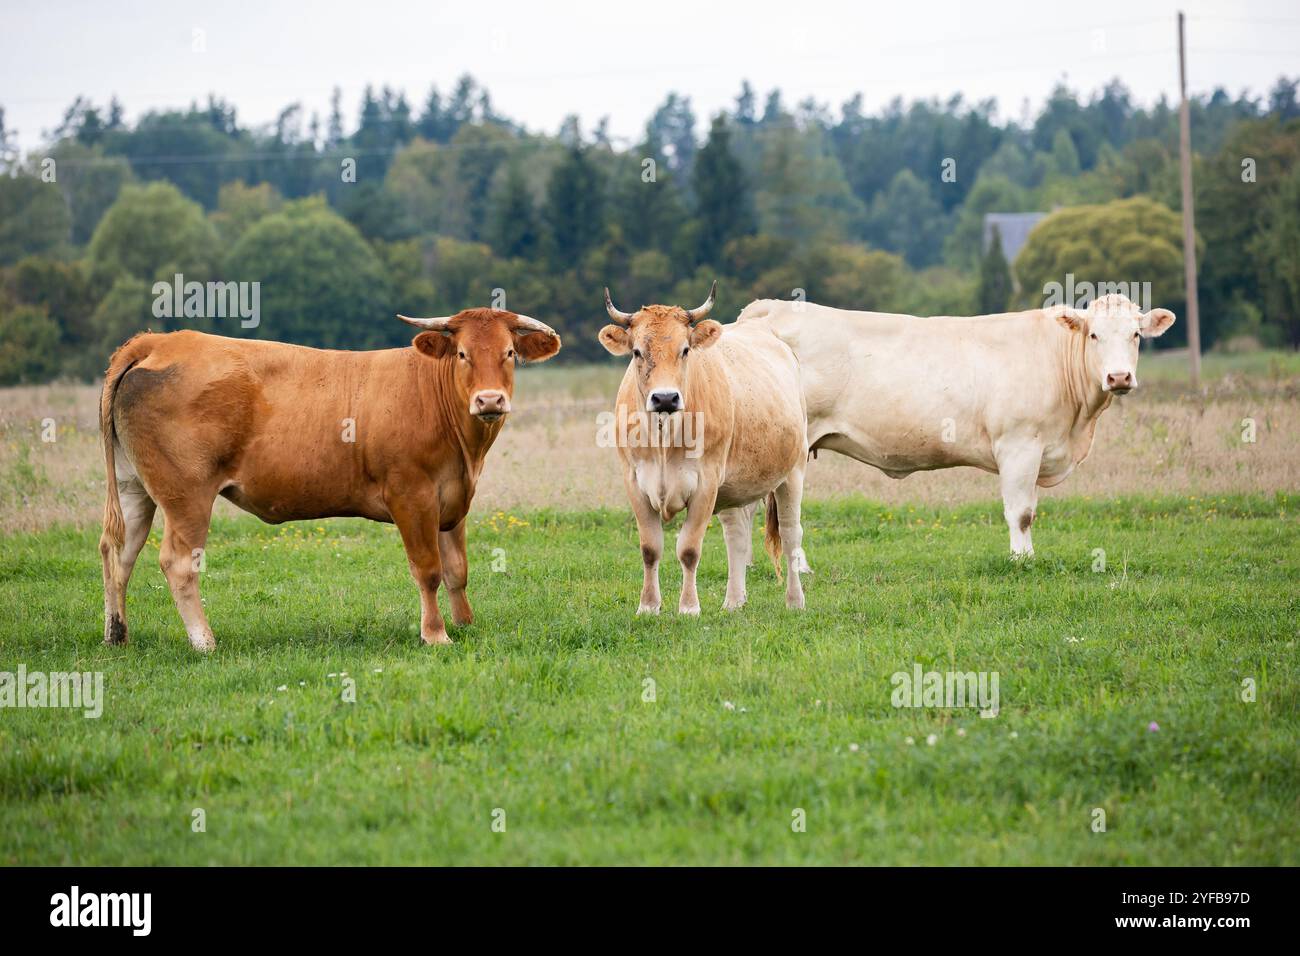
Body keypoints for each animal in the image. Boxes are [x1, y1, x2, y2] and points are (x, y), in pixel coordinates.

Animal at [98, 309, 561, 651]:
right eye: (462, 354)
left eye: (508, 352)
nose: (489, 400)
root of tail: (159, 341)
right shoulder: (412, 495)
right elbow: (428, 570)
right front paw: (436, 634)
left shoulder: (453, 499)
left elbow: (457, 570)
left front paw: (465, 624)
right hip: (187, 496)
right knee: (176, 563)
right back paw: (204, 642)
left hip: (135, 488)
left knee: (118, 552)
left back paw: (117, 635)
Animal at [598, 282, 812, 615]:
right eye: (636, 352)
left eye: (685, 350)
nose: (665, 398)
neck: (665, 438)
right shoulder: (634, 482)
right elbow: (650, 548)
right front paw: (648, 606)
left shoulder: (705, 484)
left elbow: (688, 549)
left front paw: (688, 608)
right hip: (735, 486)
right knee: (736, 537)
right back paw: (734, 601)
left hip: (793, 472)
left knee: (791, 535)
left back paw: (795, 601)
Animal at [736, 292, 1176, 557]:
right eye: (1094, 335)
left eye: (1136, 335)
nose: (1118, 377)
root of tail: (768, 308)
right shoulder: (1018, 444)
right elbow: (1020, 512)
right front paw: (1022, 560)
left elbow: (1030, 509)